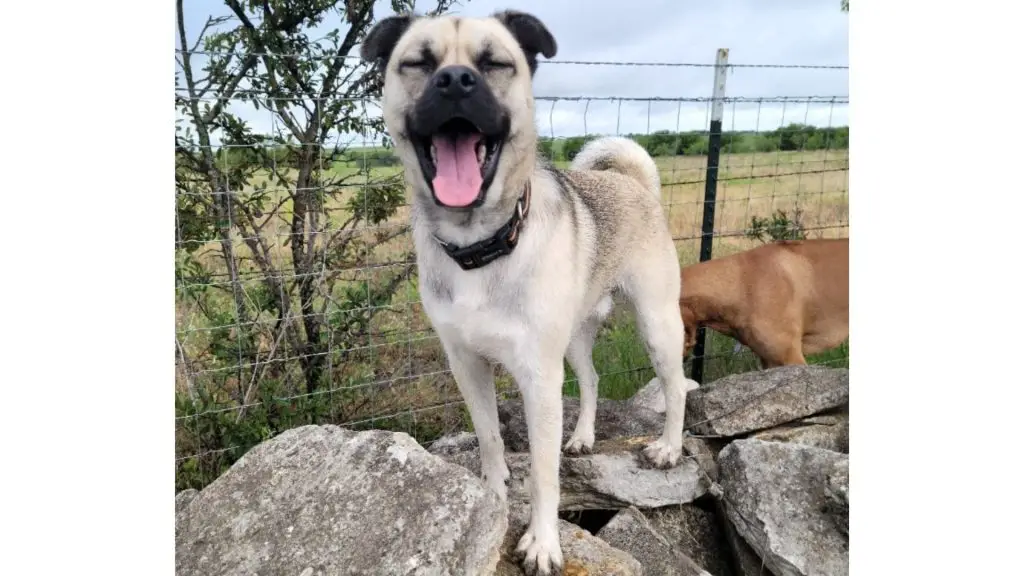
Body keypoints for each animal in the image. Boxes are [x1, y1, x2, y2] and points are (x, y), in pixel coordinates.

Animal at [362, 11, 696, 569]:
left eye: (495, 63)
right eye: (418, 63)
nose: (455, 81)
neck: (480, 244)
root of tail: (634, 184)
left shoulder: (538, 378)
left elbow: (542, 474)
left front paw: (542, 541)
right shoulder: (469, 367)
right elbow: (490, 440)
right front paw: (492, 499)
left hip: (657, 324)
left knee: (674, 387)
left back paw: (668, 447)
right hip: (576, 337)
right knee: (591, 380)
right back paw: (582, 437)